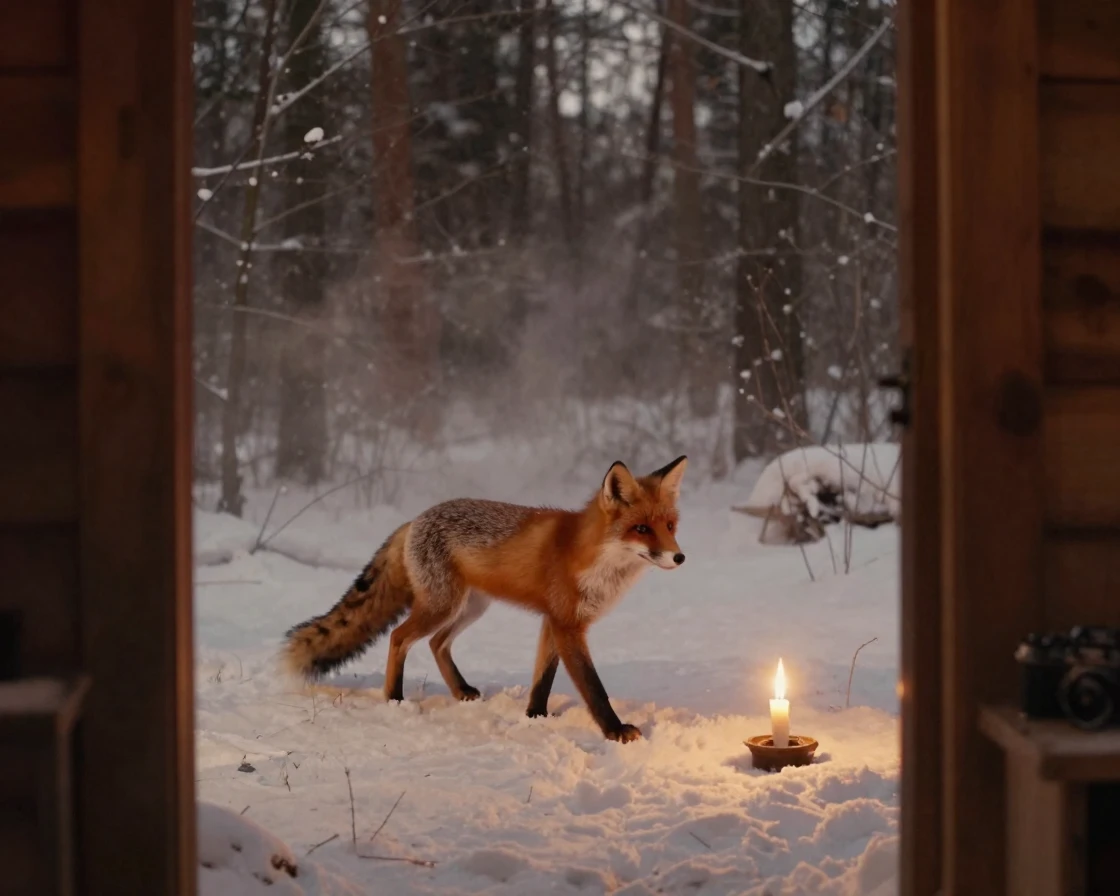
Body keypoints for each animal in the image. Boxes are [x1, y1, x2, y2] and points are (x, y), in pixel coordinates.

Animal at [281, 455, 688, 743]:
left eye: (670, 526)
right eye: (641, 528)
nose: (679, 557)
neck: (593, 558)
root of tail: (413, 520)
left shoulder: (553, 622)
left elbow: (543, 678)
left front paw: (535, 717)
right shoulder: (568, 626)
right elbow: (593, 688)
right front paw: (615, 731)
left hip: (470, 608)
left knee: (436, 643)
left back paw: (460, 690)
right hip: (442, 606)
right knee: (399, 637)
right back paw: (394, 699)